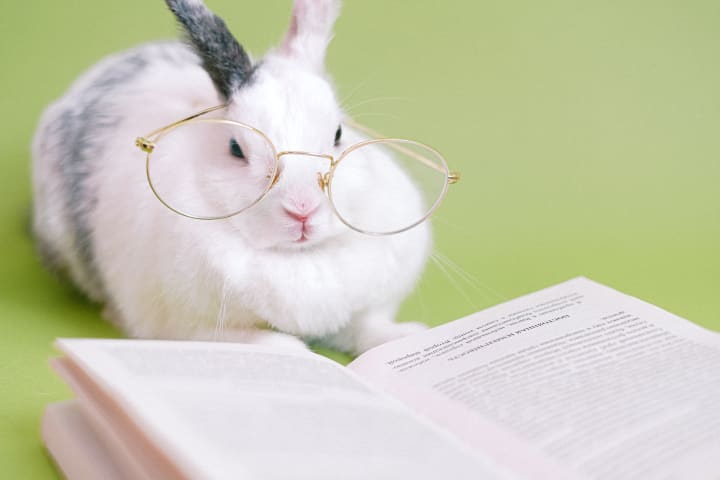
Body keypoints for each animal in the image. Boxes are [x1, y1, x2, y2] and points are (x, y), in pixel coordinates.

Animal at [31, 0, 434, 352]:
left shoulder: (364, 309)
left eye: (338, 134)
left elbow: (367, 328)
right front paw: (293, 351)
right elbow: (255, 341)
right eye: (236, 149)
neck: (298, 258)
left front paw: (407, 336)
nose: (303, 209)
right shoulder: (186, 326)